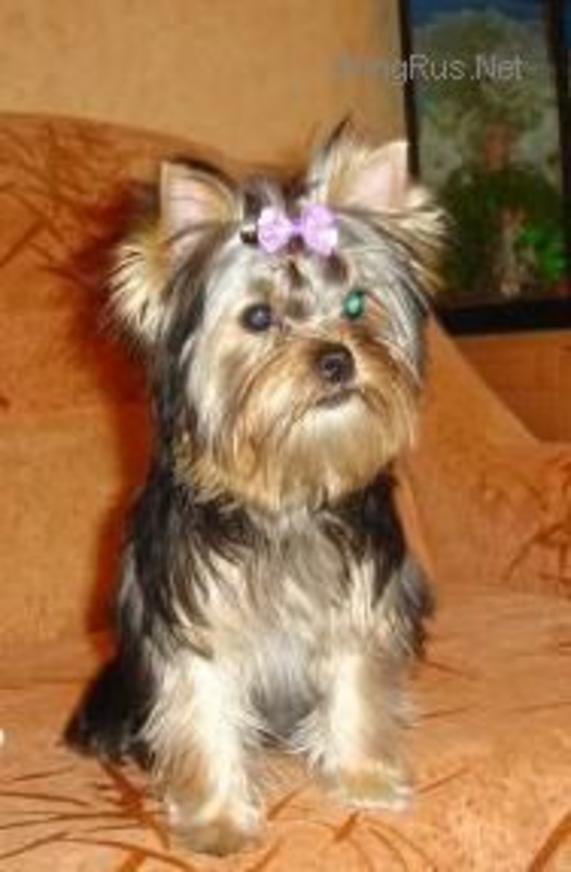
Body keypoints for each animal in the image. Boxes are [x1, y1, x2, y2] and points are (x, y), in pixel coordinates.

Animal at [65, 123, 444, 856]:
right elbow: (203, 708)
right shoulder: (195, 615)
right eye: (259, 318)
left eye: (356, 305)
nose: (338, 358)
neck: (284, 495)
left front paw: (364, 779)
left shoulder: (359, 597)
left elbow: (356, 684)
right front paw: (216, 822)